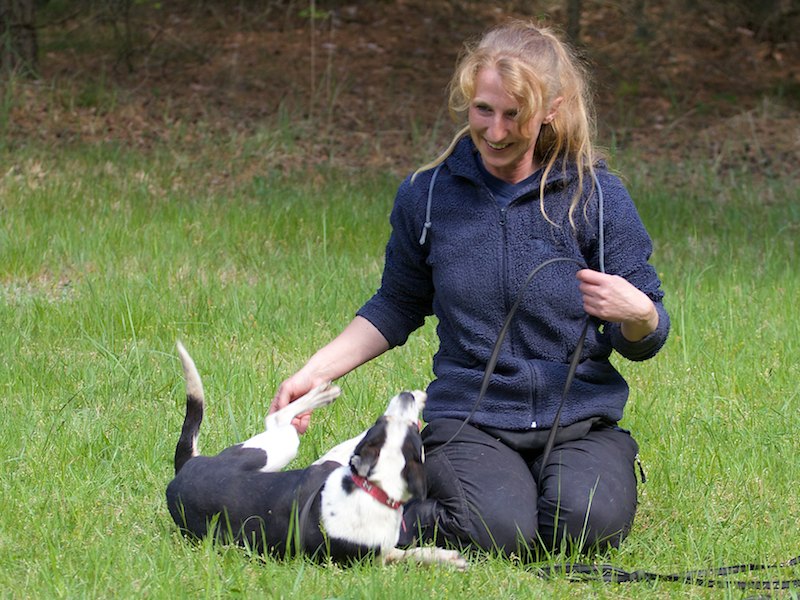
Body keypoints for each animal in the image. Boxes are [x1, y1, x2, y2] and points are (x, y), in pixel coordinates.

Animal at [166, 342, 467, 569]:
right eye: (381, 422)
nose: (407, 396)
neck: (373, 489)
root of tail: (185, 467)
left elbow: (407, 554)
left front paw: (444, 558)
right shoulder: (328, 463)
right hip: (280, 445)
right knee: (277, 418)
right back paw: (320, 393)